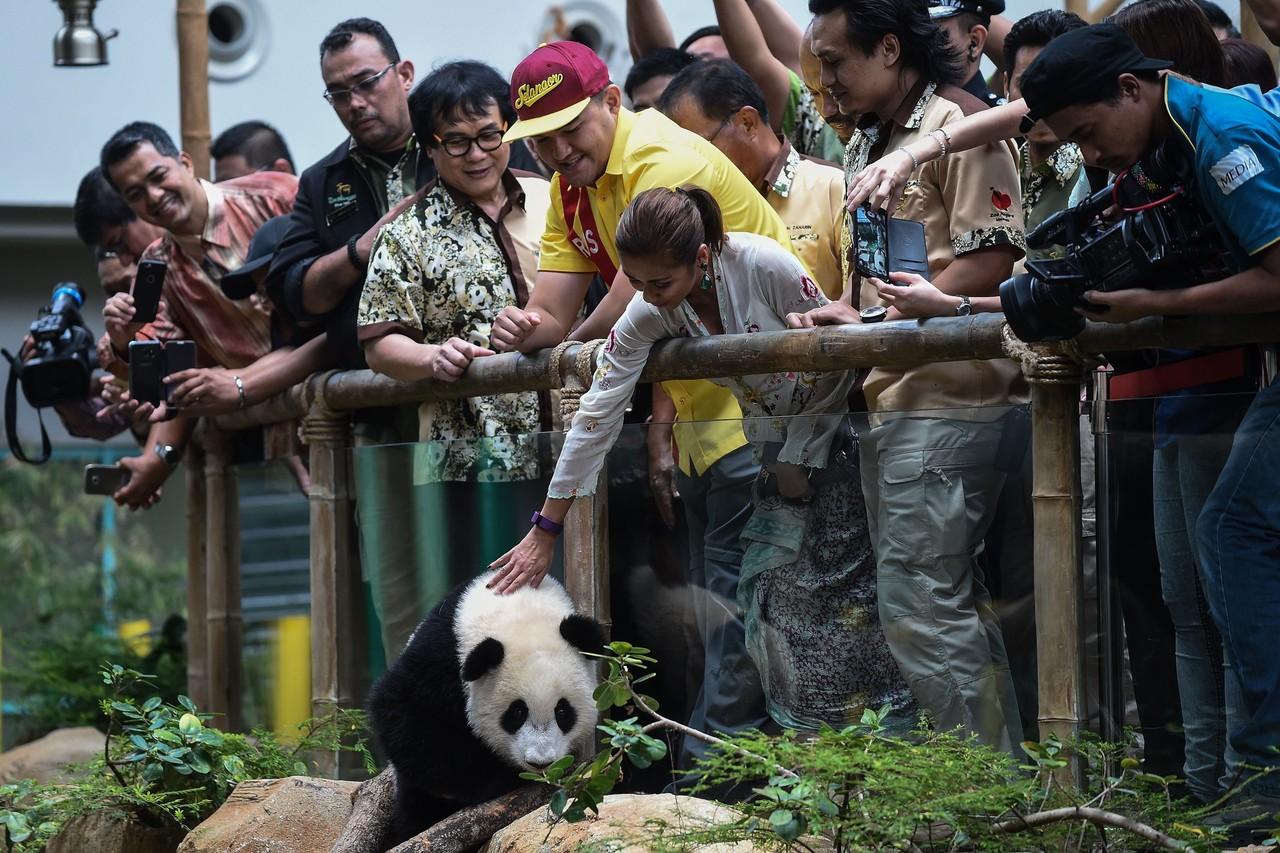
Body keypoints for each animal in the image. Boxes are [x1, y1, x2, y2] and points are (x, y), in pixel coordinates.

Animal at [371, 571, 609, 845]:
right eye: (517, 713)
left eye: (562, 712)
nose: (540, 762)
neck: (521, 610)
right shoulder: (443, 655)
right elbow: (403, 715)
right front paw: (498, 779)